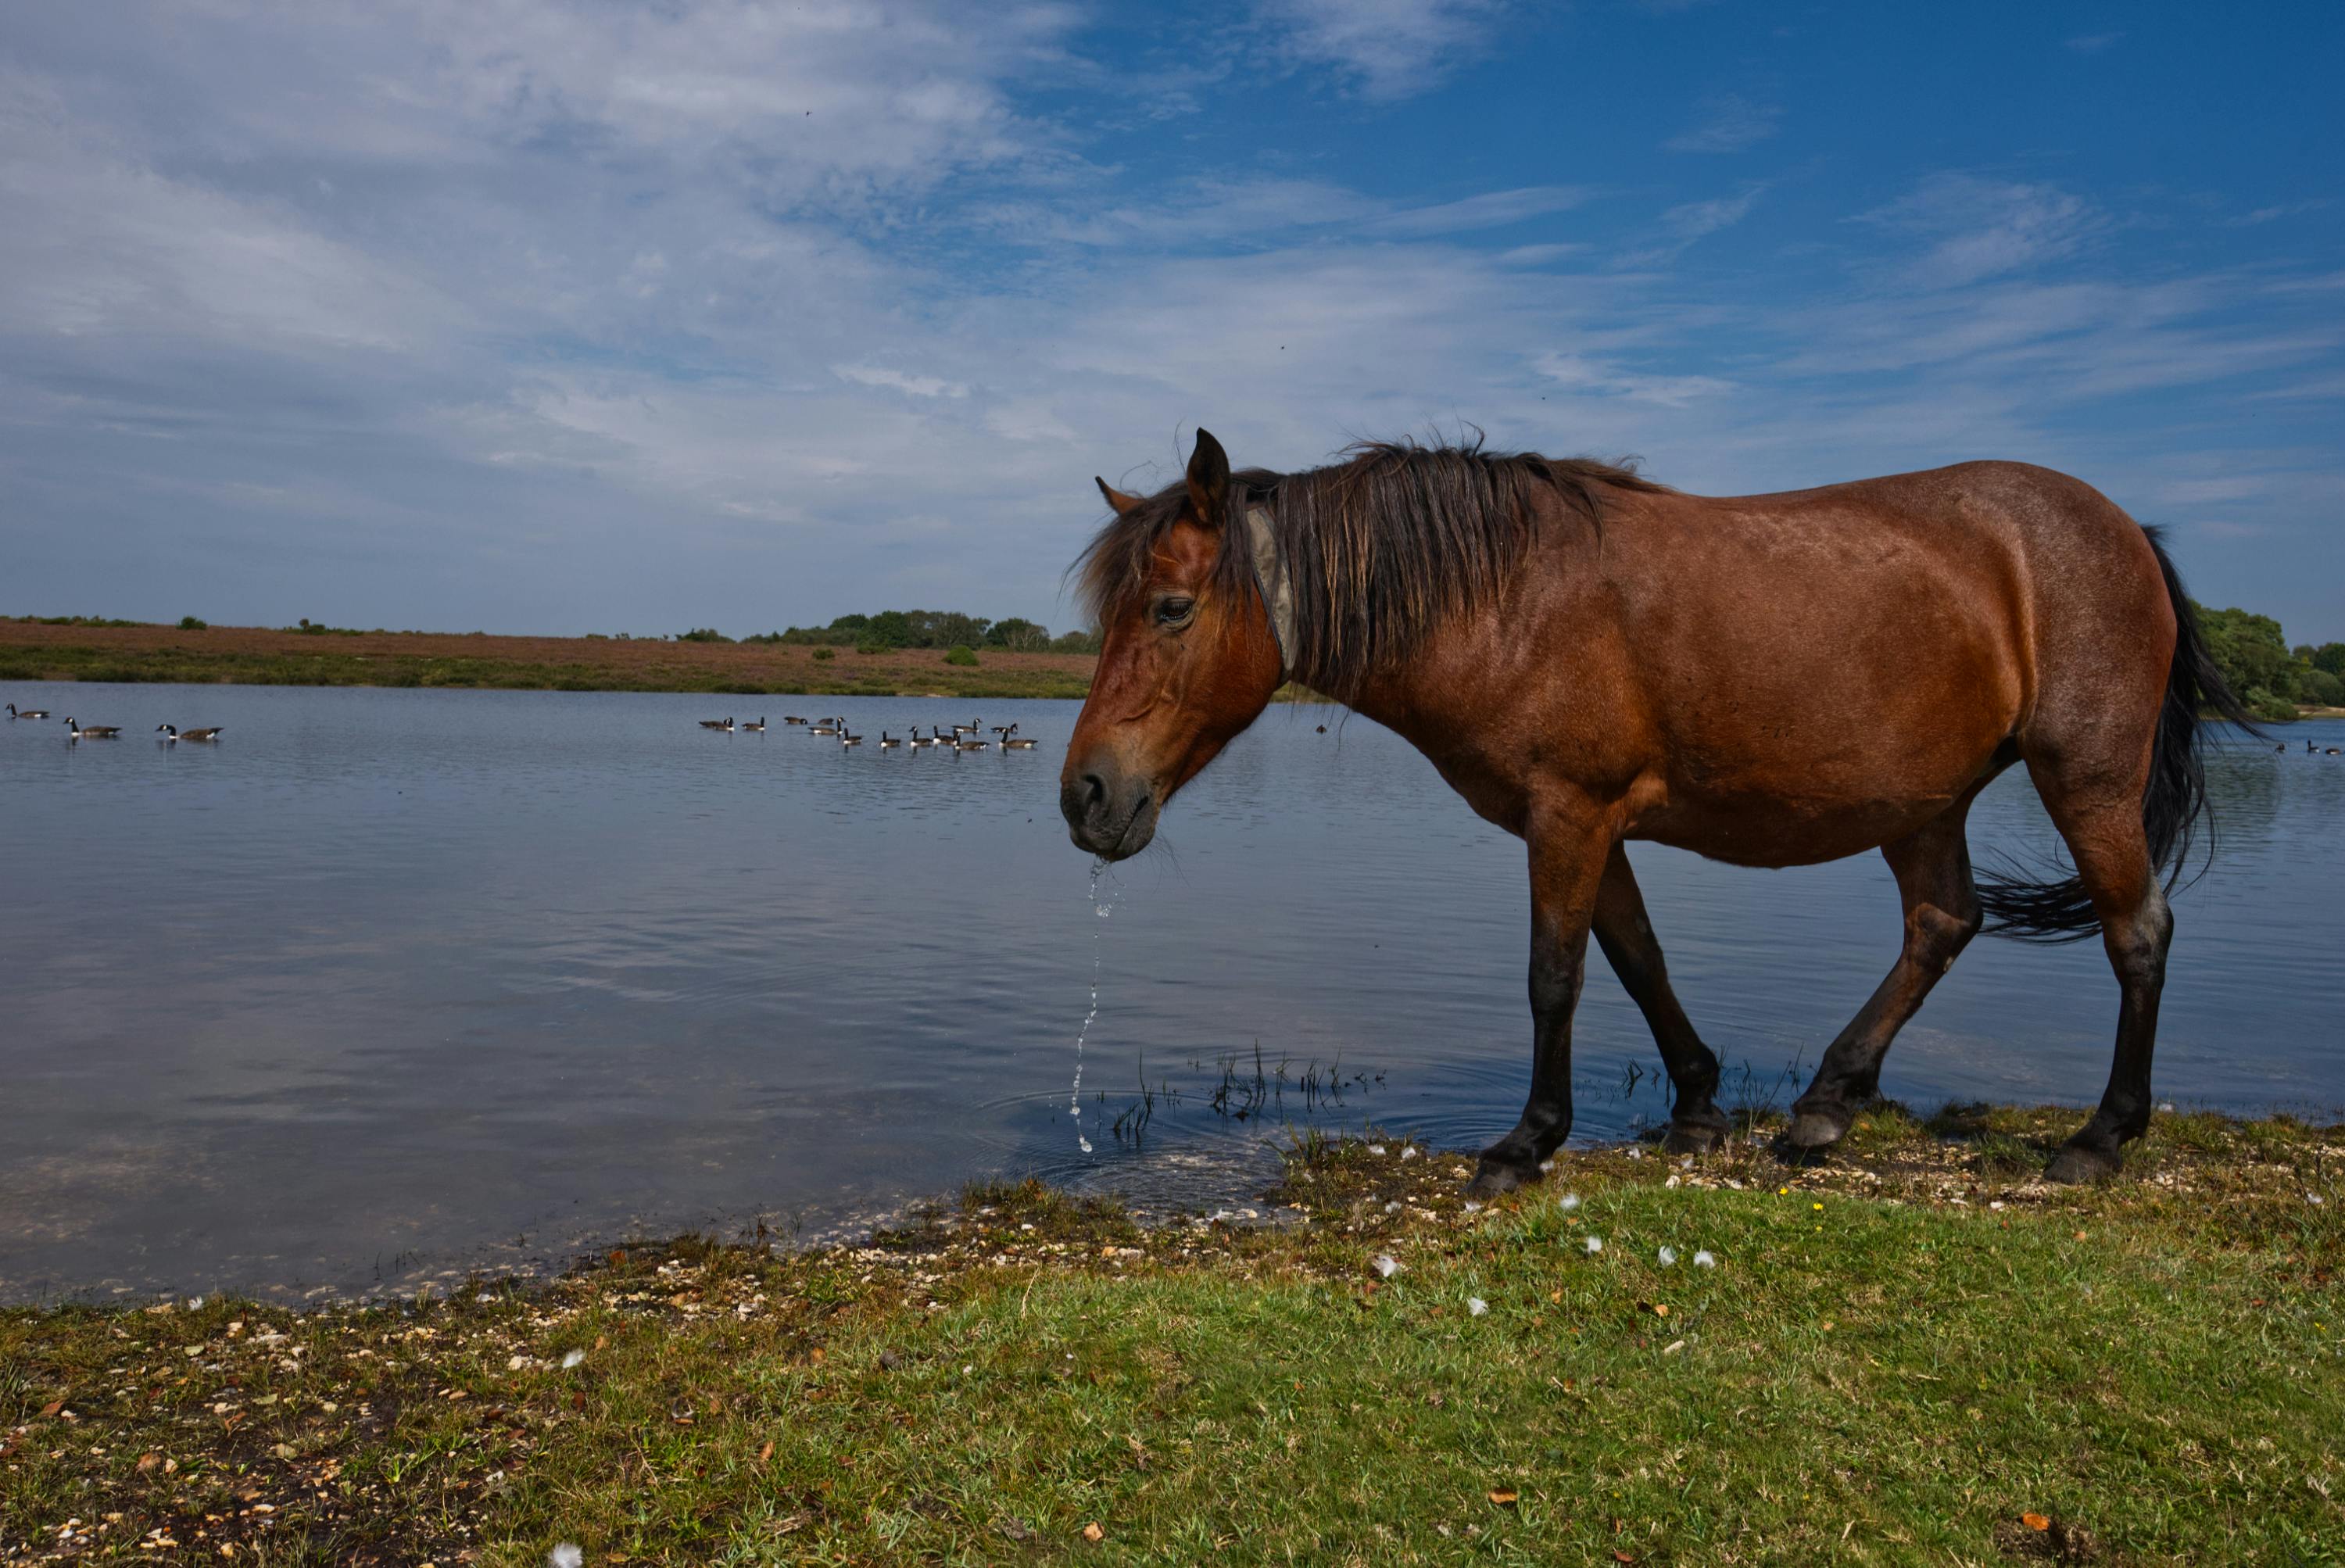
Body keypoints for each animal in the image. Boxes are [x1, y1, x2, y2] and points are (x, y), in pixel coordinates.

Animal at [1060, 430, 2255, 1193]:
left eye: (1170, 608)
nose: (1086, 793)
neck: (1502, 599)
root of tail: (2126, 530)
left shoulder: (1569, 813)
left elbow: (1556, 975)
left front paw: (1526, 1143)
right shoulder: (1585, 822)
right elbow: (1639, 959)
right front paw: (1696, 1107)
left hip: (2084, 777)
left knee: (2137, 932)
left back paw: (2101, 1137)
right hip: (1926, 798)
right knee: (1942, 924)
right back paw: (1827, 1101)